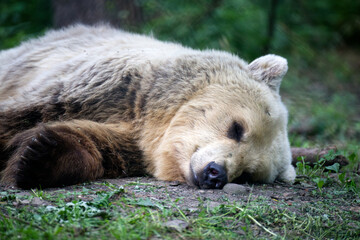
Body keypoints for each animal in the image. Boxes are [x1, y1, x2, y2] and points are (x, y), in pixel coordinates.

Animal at [0, 24, 296, 189]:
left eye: (247, 174)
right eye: (237, 128)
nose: (216, 173)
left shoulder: (133, 144)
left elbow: (97, 145)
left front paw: (40, 155)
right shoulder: (110, 88)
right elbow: (25, 112)